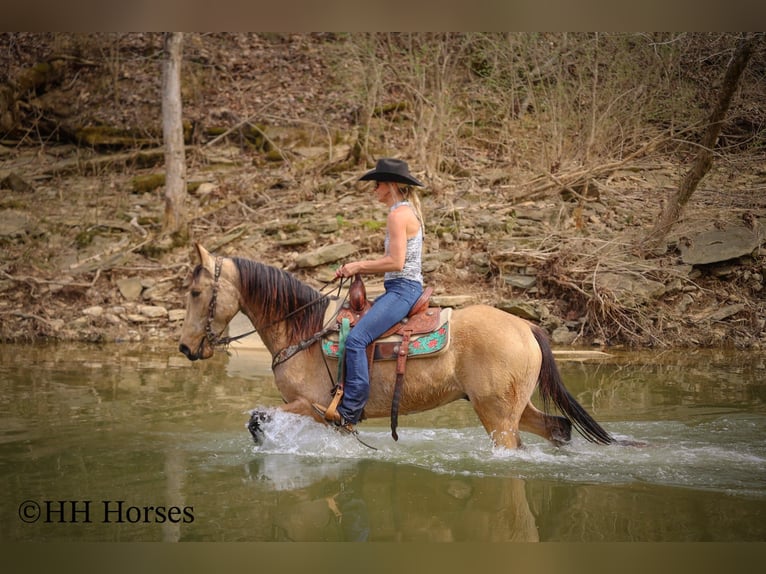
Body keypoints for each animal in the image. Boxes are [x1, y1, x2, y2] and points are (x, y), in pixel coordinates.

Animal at [178, 243, 614, 449]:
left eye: (196, 292)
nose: (184, 347)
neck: (302, 331)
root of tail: (525, 326)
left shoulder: (312, 405)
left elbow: (257, 418)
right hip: (513, 407)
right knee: (558, 427)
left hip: (498, 415)